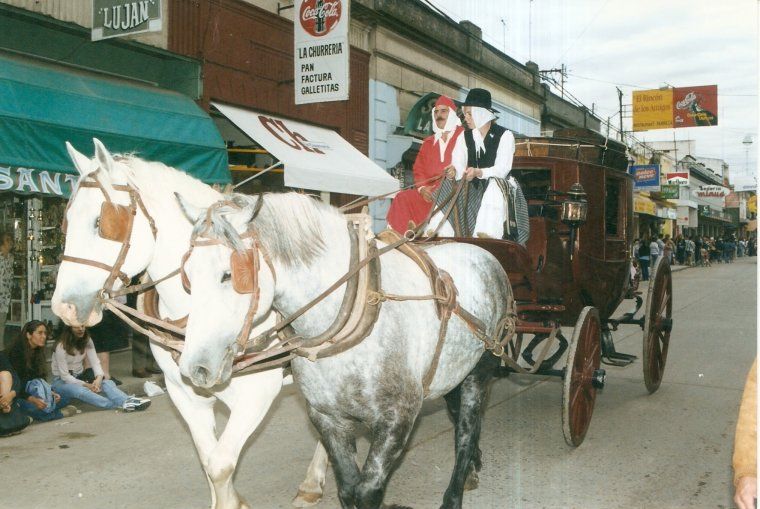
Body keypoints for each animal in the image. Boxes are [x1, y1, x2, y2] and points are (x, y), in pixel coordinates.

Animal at [49, 140, 330, 508]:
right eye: (66, 221)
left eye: (100, 221)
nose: (63, 307)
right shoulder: (184, 392)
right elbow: (209, 461)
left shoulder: (257, 392)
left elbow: (221, 464)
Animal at [175, 192, 512, 506]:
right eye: (187, 276)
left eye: (228, 274)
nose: (194, 367)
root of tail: (484, 253)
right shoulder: (327, 418)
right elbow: (348, 489)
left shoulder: (397, 420)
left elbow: (366, 492)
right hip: (454, 375)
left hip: (479, 372)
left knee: (466, 431)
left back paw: (455, 493)